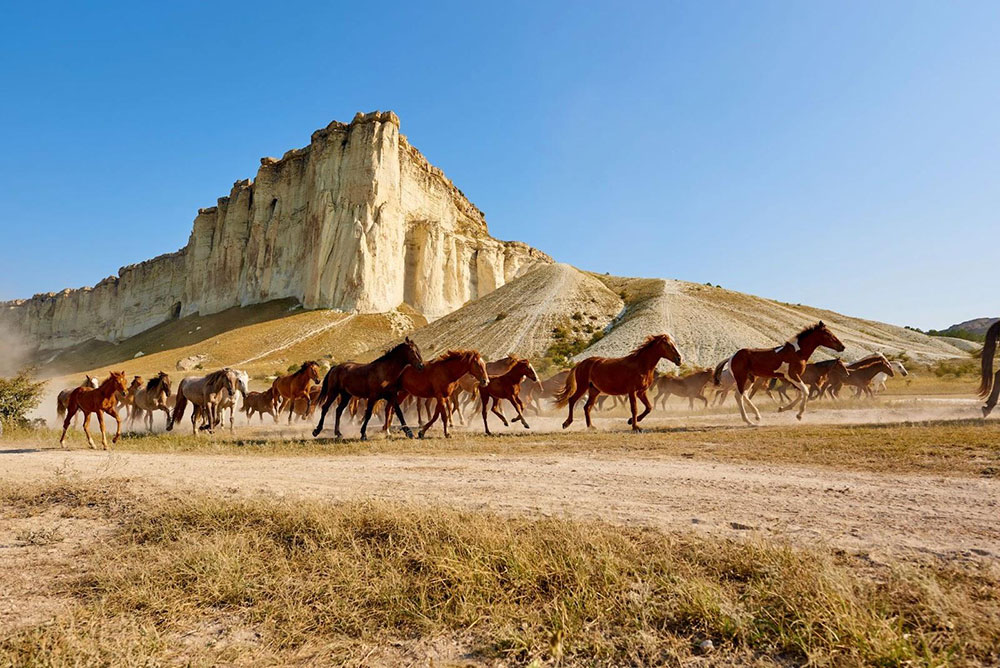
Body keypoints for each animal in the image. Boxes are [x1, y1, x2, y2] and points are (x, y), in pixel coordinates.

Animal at [552, 334, 684, 434]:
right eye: (668, 344)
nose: (679, 359)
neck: (641, 365)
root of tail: (581, 363)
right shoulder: (632, 391)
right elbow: (634, 408)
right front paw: (635, 427)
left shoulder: (641, 392)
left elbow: (649, 408)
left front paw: (631, 421)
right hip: (582, 387)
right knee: (572, 400)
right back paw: (566, 423)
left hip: (594, 390)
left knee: (587, 407)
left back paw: (591, 427)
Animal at [712, 320, 844, 426]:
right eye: (828, 334)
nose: (842, 347)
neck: (797, 352)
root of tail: (731, 357)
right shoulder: (792, 375)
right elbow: (805, 391)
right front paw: (799, 415)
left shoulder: (792, 378)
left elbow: (800, 393)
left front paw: (783, 408)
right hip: (741, 378)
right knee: (738, 396)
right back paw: (749, 421)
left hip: (750, 379)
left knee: (744, 395)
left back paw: (757, 416)